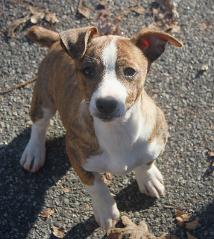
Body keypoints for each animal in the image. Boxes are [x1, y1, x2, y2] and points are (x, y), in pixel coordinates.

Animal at [20, 25, 182, 230]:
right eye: (88, 70)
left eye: (129, 71)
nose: (106, 104)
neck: (117, 129)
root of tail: (58, 40)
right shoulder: (75, 155)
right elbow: (95, 185)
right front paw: (107, 211)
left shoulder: (157, 138)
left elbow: (146, 162)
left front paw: (149, 178)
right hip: (44, 95)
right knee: (39, 124)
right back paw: (34, 152)